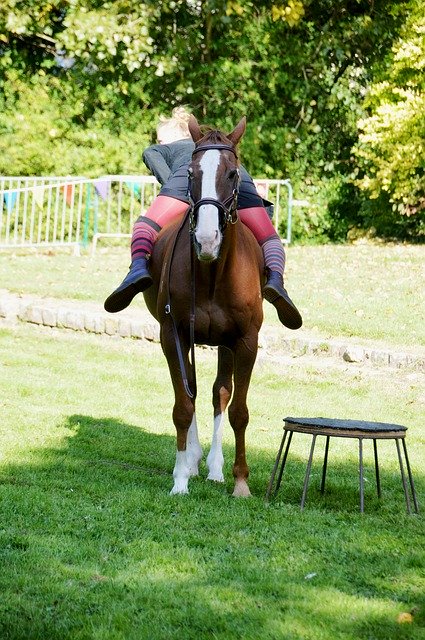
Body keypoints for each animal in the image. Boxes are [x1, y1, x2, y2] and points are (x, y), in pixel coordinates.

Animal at [143, 114, 262, 496]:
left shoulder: (245, 340)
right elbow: (183, 404)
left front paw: (240, 481)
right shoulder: (173, 334)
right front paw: (180, 477)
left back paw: (215, 467)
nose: (207, 239)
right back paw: (194, 460)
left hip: (226, 343)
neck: (212, 273)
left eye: (233, 174)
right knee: (193, 389)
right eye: (192, 174)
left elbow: (238, 410)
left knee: (219, 394)